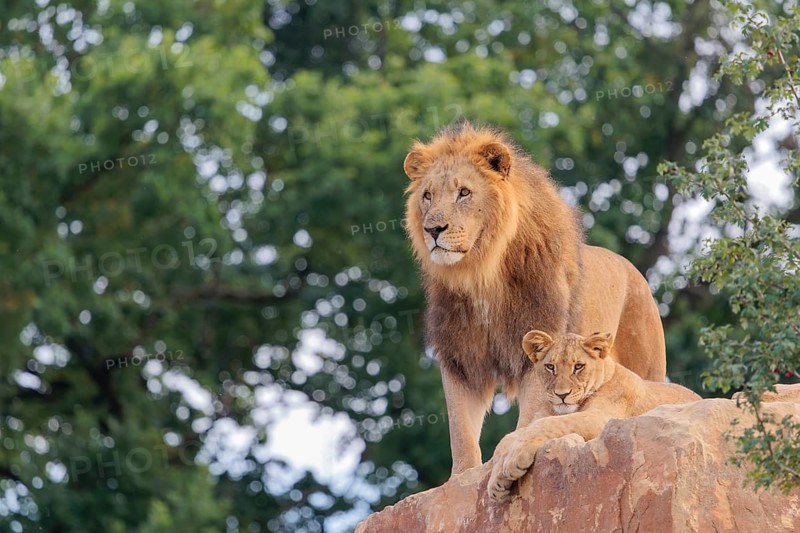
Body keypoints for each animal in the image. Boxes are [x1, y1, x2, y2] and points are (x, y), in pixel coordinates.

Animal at [403, 121, 667, 475]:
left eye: (464, 192)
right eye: (427, 196)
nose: (433, 229)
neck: (481, 276)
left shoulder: (538, 346)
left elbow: (529, 417)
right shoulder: (461, 356)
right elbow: (460, 431)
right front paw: (462, 478)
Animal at [487, 330, 701, 500]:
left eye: (578, 366)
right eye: (550, 367)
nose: (562, 395)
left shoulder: (601, 419)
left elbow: (547, 424)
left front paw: (514, 459)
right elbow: (508, 438)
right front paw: (496, 481)